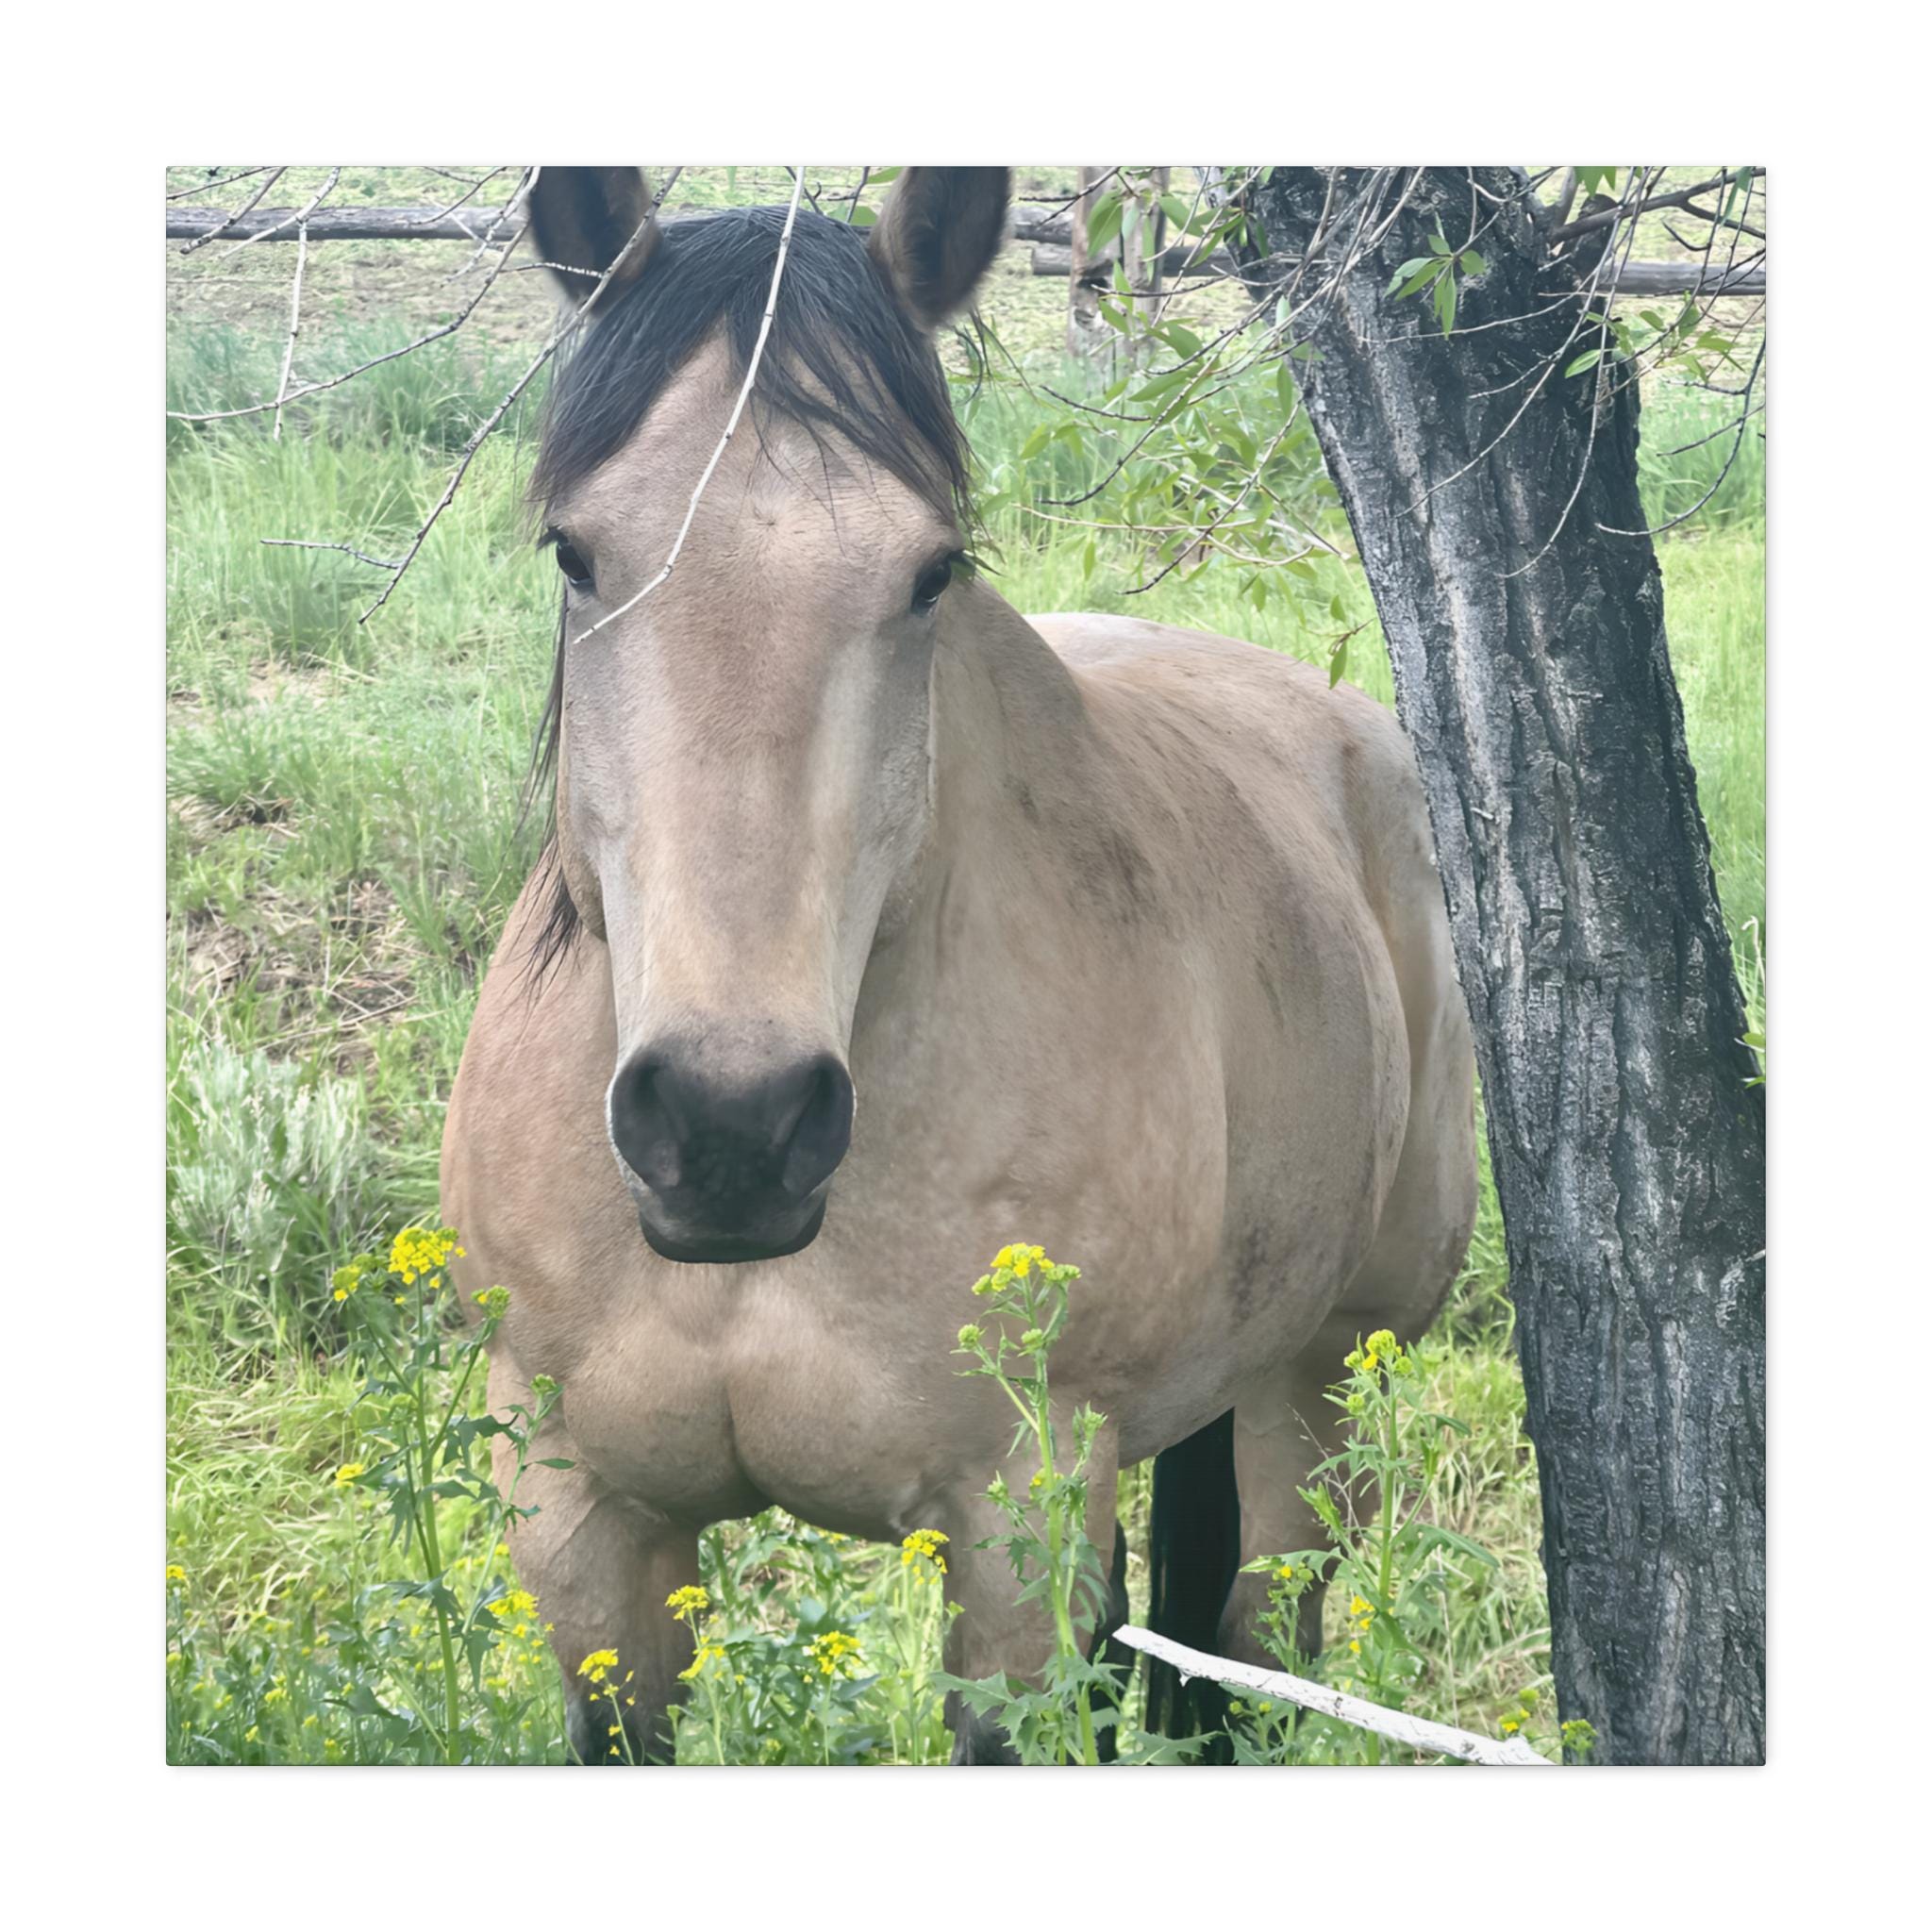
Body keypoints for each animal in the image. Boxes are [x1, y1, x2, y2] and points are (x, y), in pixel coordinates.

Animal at [441, 166, 1477, 1764]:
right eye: (574, 552)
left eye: (933, 572)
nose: (731, 1130)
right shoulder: (584, 1530)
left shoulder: (1012, 1535)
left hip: (1323, 1386)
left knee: (1254, 1642)